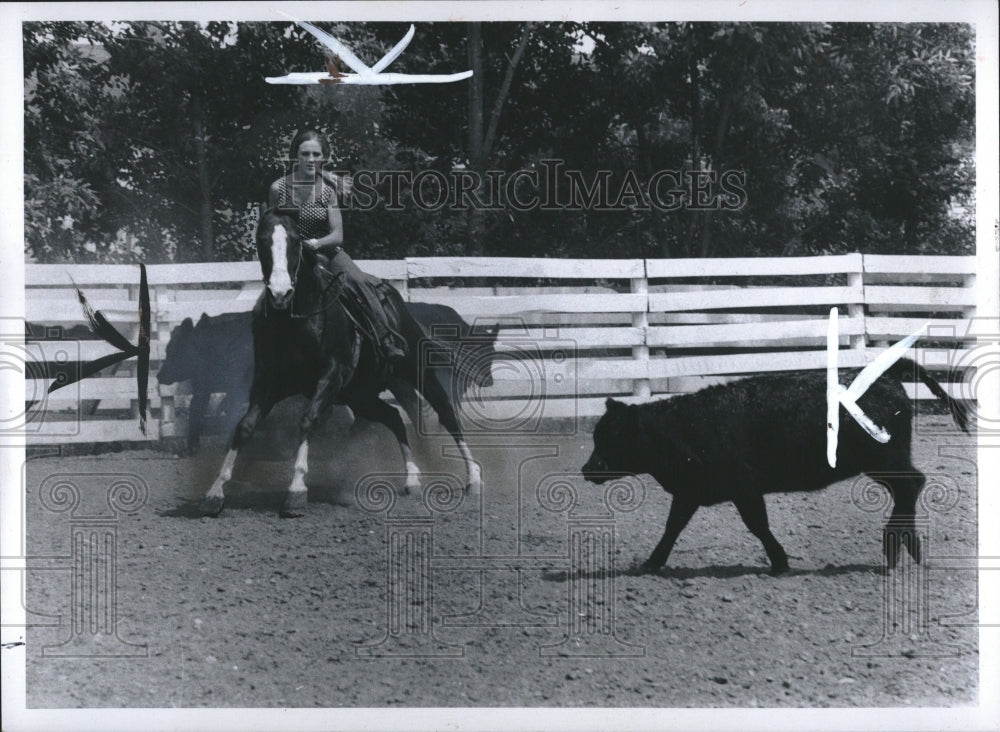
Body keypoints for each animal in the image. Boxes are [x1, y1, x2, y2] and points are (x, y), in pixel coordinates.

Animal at [584, 360, 968, 576]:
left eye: (613, 437)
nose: (588, 469)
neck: (686, 427)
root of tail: (887, 377)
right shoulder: (690, 491)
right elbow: (672, 527)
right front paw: (651, 564)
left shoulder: (744, 487)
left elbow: (758, 525)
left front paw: (780, 562)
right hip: (884, 463)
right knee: (911, 489)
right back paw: (910, 548)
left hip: (885, 460)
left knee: (911, 486)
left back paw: (894, 548)